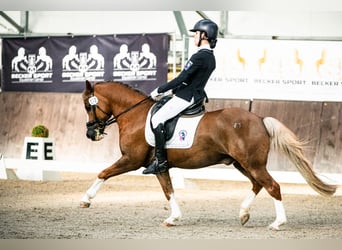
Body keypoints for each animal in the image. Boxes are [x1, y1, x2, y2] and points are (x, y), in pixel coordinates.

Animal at [81, 80, 336, 230]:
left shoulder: (131, 160)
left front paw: (85, 199)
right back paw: (243, 214)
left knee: (272, 186)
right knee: (258, 184)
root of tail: (260, 119)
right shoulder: (159, 165)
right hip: (242, 164)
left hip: (251, 163)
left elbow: (103, 173)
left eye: (87, 105)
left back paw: (277, 223)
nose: (90, 133)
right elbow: (168, 191)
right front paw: (174, 218)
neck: (135, 115)